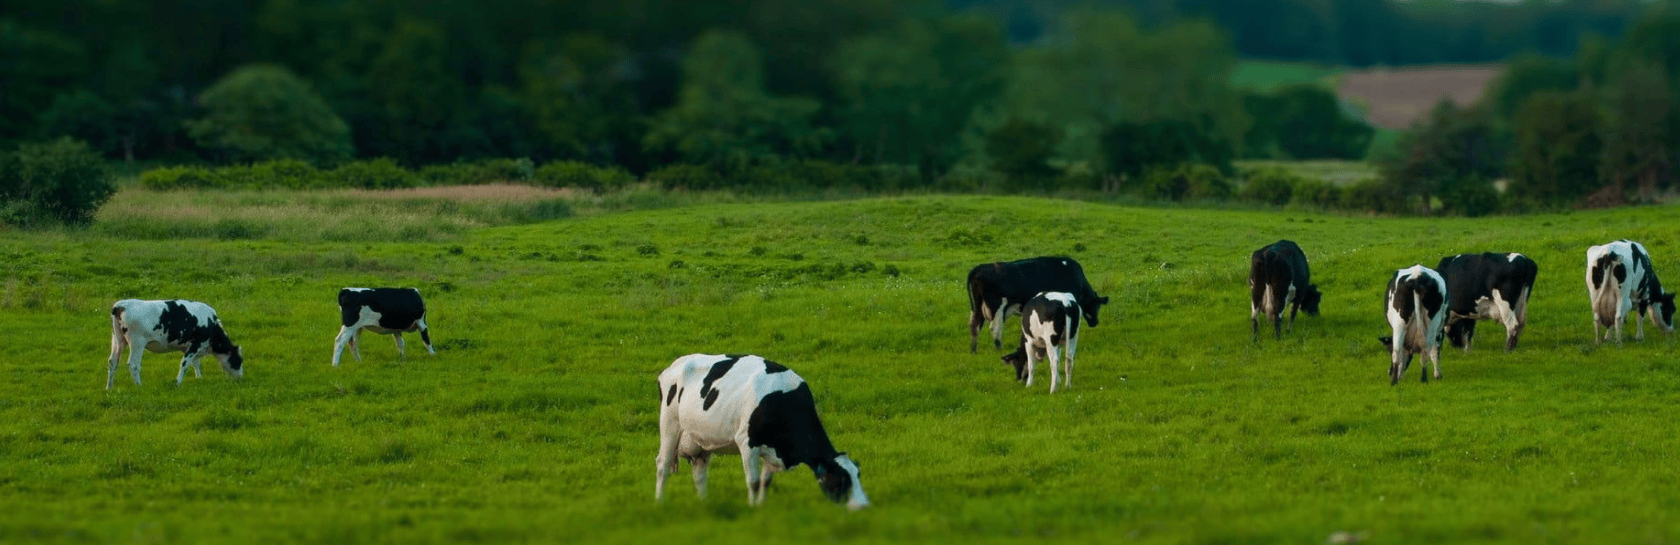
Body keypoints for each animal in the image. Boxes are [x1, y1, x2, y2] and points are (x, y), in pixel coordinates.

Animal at [107, 299, 244, 389]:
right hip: (137, 342)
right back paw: (139, 386)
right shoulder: (195, 345)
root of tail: (121, 305)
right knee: (133, 364)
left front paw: (199, 377)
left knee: (113, 361)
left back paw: (109, 387)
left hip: (117, 340)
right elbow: (185, 364)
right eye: (238, 360)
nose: (240, 378)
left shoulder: (190, 348)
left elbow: (195, 363)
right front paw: (178, 382)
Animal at [655, 354, 869, 510]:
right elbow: (754, 482)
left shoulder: (773, 450)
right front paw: (752, 508)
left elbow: (766, 482)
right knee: (662, 465)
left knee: (699, 474)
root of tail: (675, 363)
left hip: (700, 441)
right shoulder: (747, 443)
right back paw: (660, 502)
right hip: (669, 423)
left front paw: (761, 508)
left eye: (858, 475)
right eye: (840, 480)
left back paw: (704, 503)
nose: (864, 507)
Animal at [967, 256, 1109, 353]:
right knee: (995, 328)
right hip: (997, 307)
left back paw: (974, 350)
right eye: (1097, 306)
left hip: (978, 307)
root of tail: (980, 268)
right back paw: (999, 349)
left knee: (974, 325)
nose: (1095, 322)